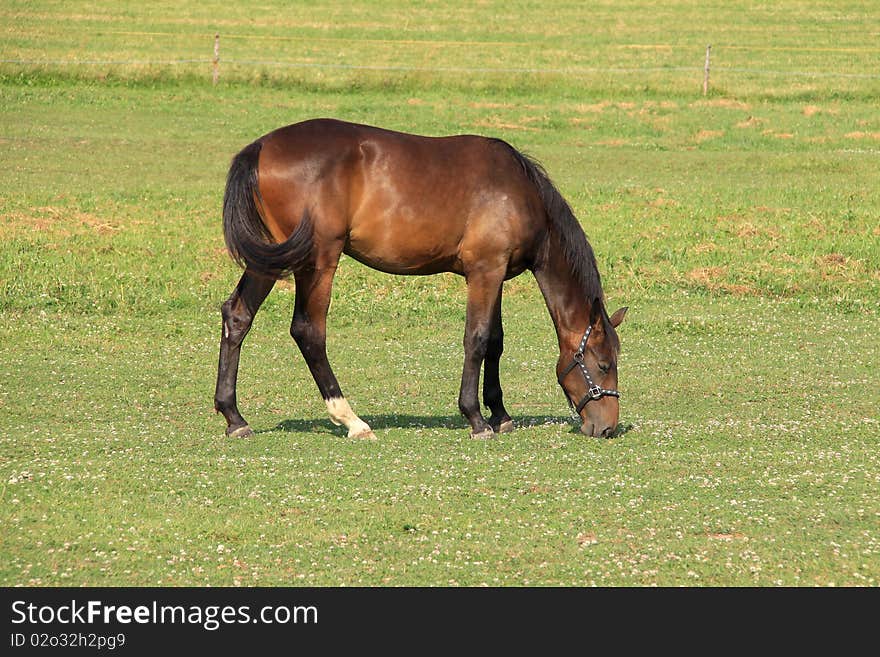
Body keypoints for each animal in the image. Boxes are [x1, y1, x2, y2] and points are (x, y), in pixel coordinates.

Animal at [213, 118, 624, 440]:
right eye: (604, 365)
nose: (606, 427)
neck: (517, 192)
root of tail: (261, 147)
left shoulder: (496, 275)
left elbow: (495, 341)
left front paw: (500, 414)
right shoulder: (485, 272)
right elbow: (477, 340)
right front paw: (476, 418)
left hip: (269, 256)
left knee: (238, 315)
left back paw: (234, 417)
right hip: (316, 261)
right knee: (308, 331)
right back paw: (351, 420)